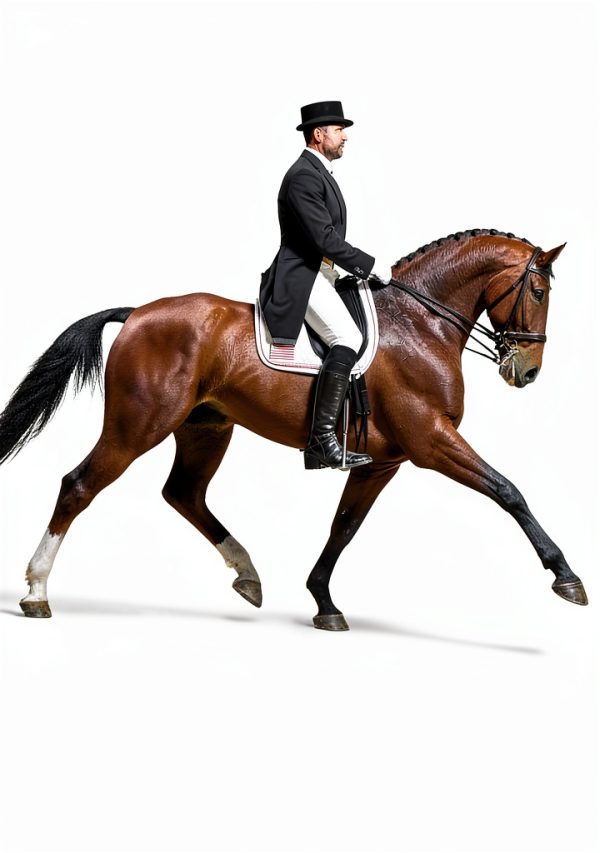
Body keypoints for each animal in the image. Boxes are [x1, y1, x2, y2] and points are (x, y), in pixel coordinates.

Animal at [0, 228, 588, 630]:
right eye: (539, 292)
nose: (527, 372)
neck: (419, 326)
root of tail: (139, 313)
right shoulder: (431, 440)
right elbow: (508, 491)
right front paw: (566, 576)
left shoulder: (382, 462)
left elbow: (344, 527)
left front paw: (323, 601)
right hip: (136, 426)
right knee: (78, 485)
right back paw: (36, 592)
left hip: (205, 429)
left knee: (184, 493)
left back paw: (248, 574)